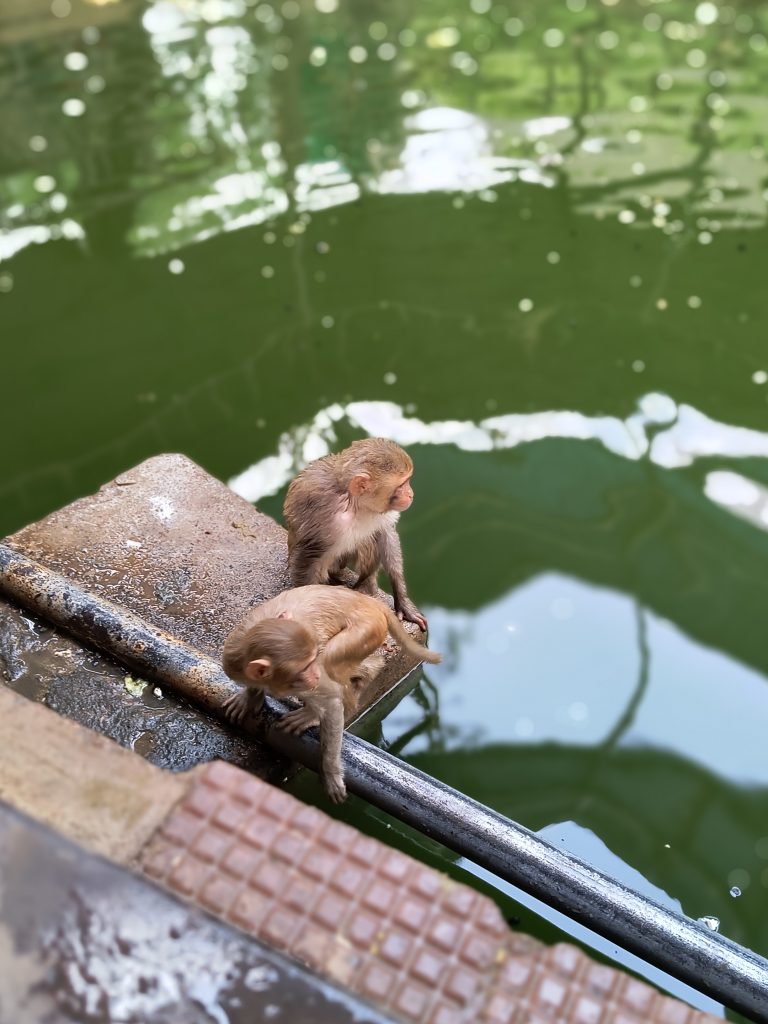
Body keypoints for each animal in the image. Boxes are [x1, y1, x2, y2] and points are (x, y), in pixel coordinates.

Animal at [219, 589, 442, 802]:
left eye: (310, 662)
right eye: (303, 668)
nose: (315, 675)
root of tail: (371, 601)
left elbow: (332, 703)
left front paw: (330, 774)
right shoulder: (232, 661)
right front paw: (250, 698)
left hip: (366, 629)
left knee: (331, 659)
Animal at [282, 436, 428, 626]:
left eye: (407, 481)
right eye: (402, 484)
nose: (411, 494)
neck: (355, 504)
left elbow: (386, 535)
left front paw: (403, 602)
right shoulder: (324, 519)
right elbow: (307, 556)